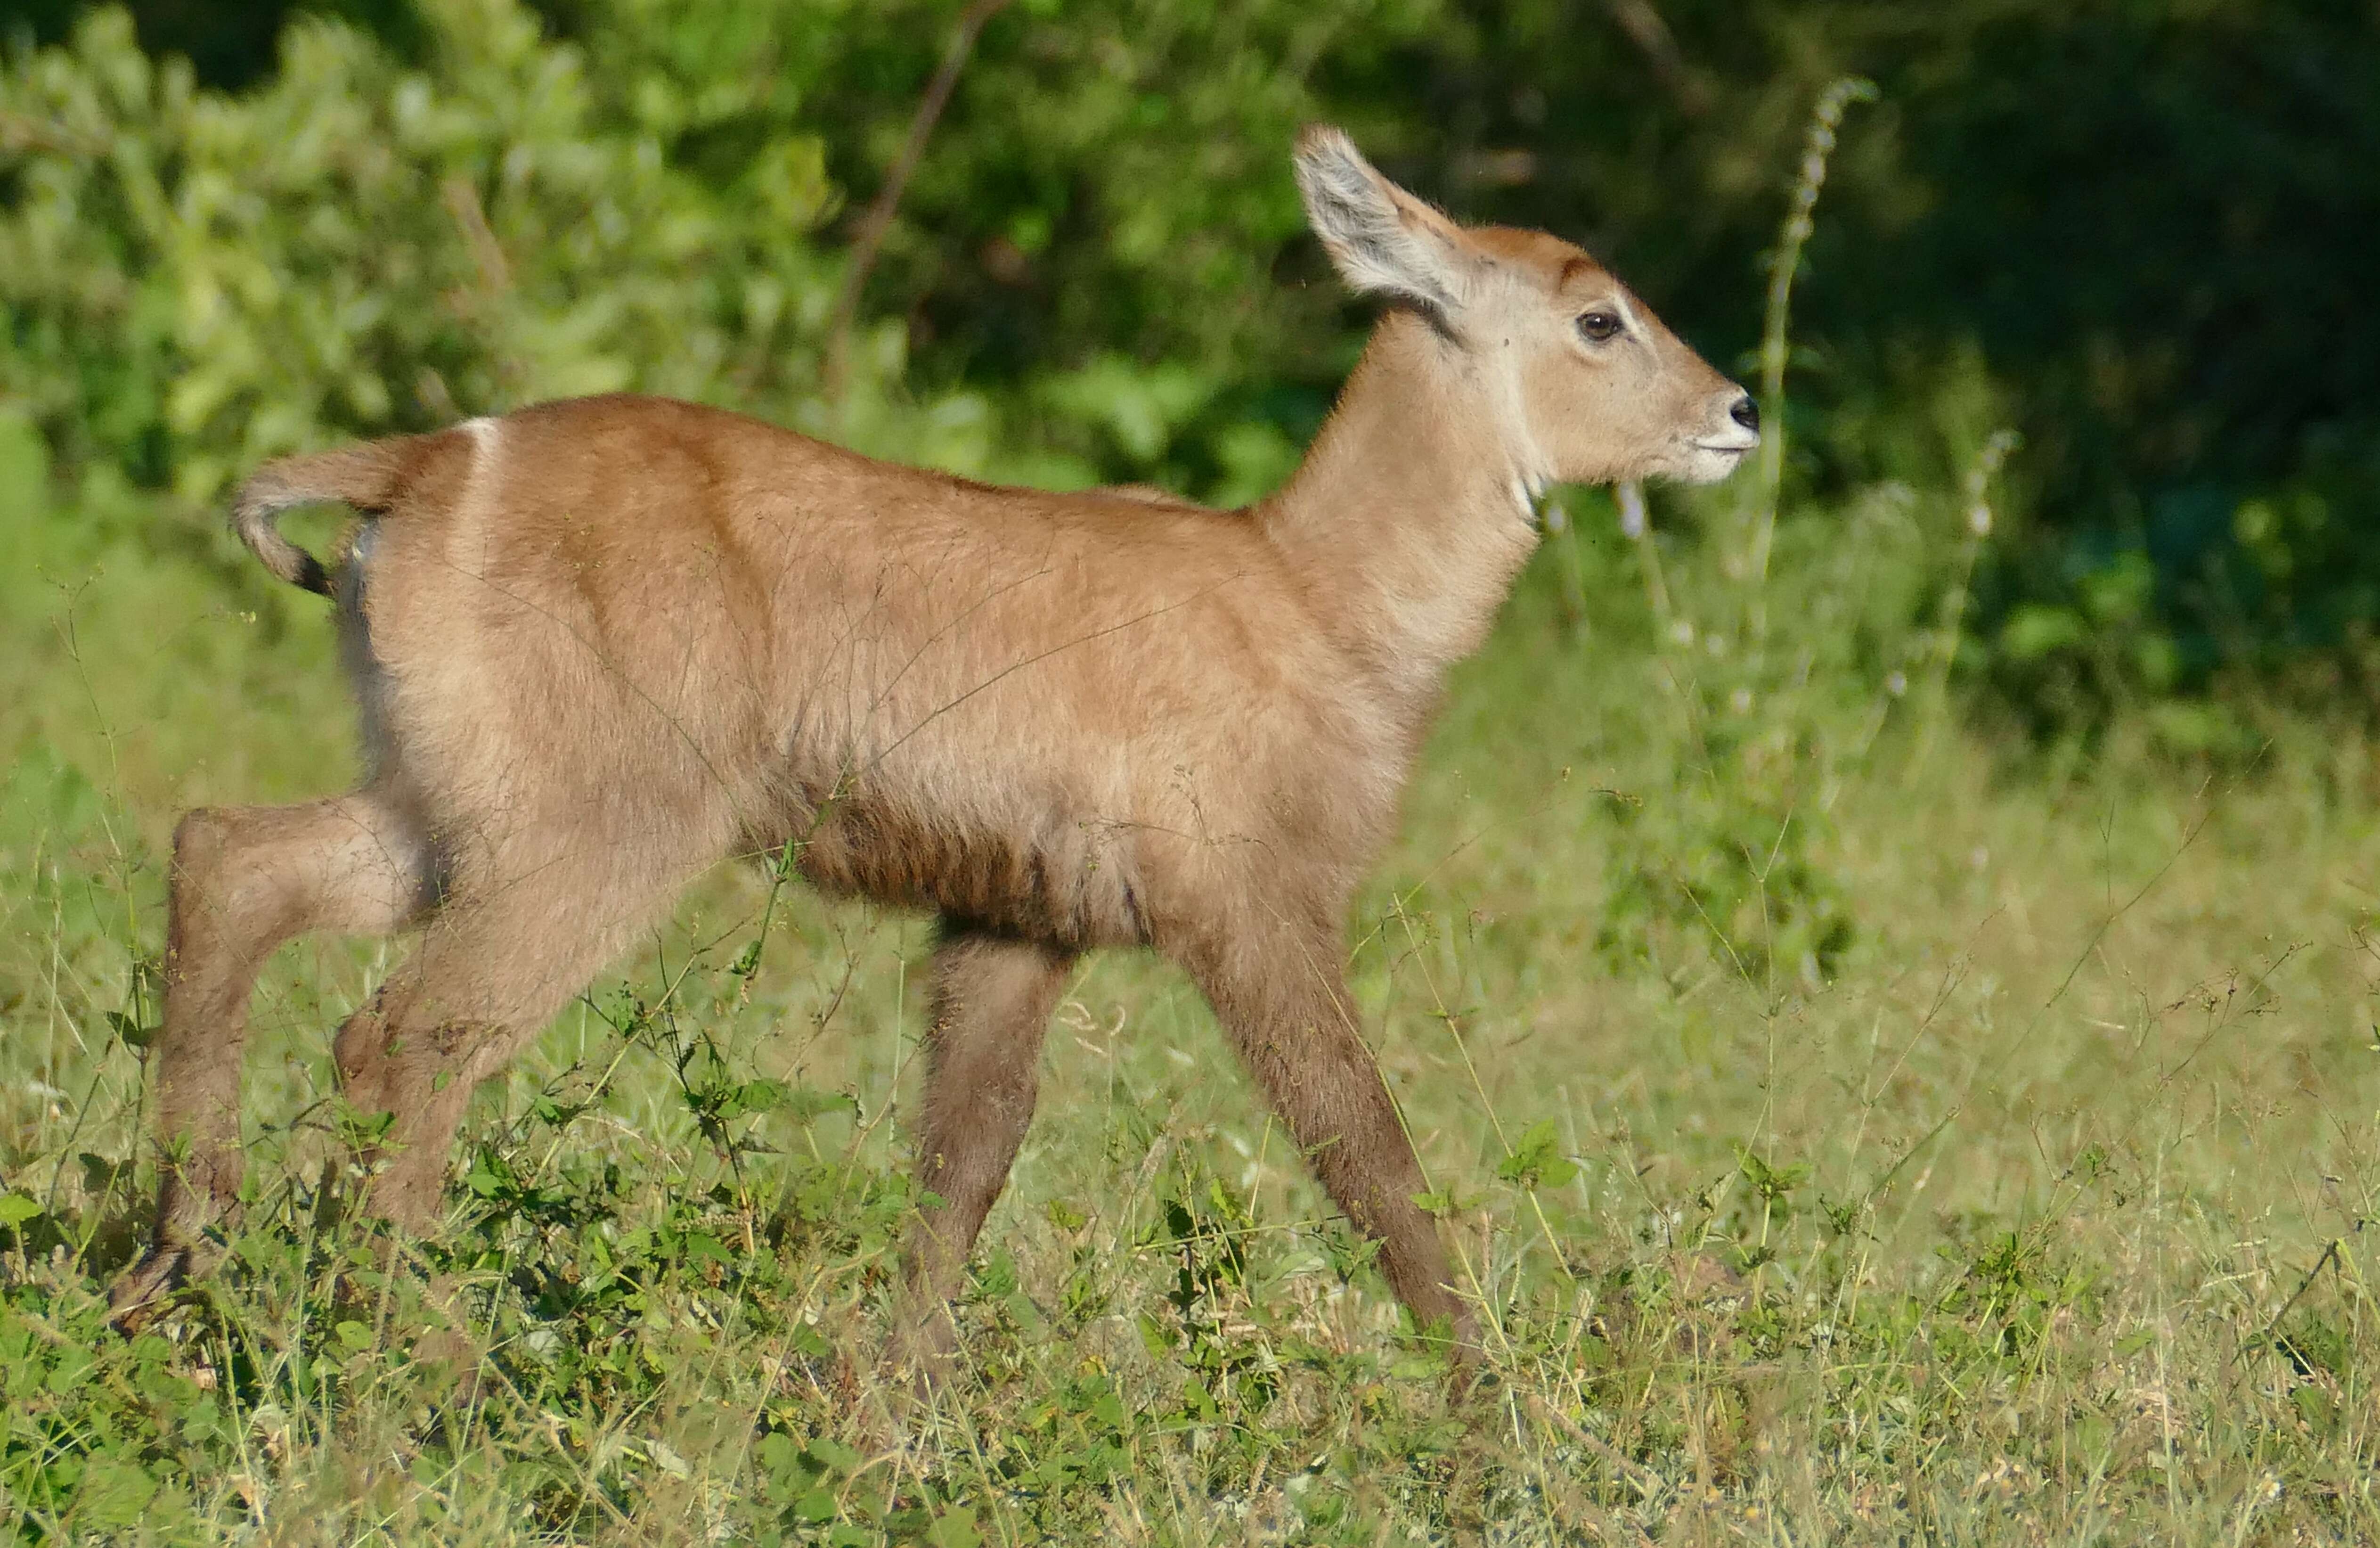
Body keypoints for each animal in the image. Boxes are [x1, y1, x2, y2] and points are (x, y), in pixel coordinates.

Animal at [112, 127, 1761, 1372]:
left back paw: (178, 1272)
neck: (1318, 594)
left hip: (444, 806)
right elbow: (1370, 1158)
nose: (1740, 407)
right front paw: (1501, 1419)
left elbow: (960, 1168)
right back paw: (404, 1363)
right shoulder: (1253, 909)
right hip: (600, 833)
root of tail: (429, 463)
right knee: (403, 1036)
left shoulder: (1015, 924)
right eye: (1597, 314)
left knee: (226, 859)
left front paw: (879, 1420)